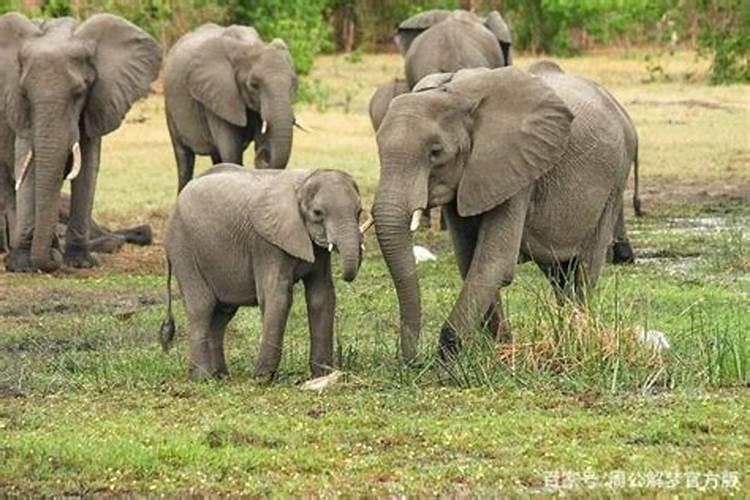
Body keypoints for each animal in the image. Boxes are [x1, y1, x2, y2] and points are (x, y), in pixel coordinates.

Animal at [0, 13, 162, 274]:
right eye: (25, 94)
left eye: (79, 93)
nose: (52, 263)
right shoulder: (17, 108)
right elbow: (27, 165)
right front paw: (23, 265)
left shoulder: (98, 100)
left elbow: (88, 167)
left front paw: (80, 263)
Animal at [162, 164, 368, 378]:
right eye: (318, 213)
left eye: (359, 211)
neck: (302, 182)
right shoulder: (267, 244)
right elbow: (278, 297)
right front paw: (262, 378)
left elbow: (322, 296)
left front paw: (323, 374)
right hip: (183, 248)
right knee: (202, 307)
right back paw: (202, 378)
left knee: (222, 314)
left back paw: (221, 376)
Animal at [166, 23, 298, 192]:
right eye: (254, 85)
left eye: (294, 84)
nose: (263, 154)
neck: (248, 45)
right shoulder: (218, 95)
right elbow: (231, 153)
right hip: (170, 107)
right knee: (184, 159)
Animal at [374, 66, 640, 364]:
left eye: (435, 152)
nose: (412, 361)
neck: (455, 95)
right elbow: (469, 261)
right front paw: (501, 349)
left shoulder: (516, 167)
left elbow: (494, 262)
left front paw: (448, 358)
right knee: (559, 273)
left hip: (615, 179)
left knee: (584, 269)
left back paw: (577, 338)